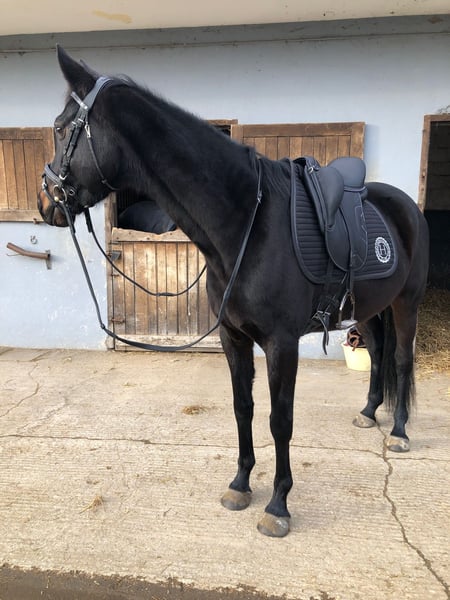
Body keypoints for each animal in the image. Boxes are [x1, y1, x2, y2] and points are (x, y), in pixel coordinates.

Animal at [38, 46, 429, 537]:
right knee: (376, 353)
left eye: (59, 127)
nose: (45, 202)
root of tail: (405, 206)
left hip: (406, 303)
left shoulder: (282, 344)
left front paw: (278, 505)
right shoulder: (233, 336)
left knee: (401, 359)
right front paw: (241, 484)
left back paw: (398, 432)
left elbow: (280, 420)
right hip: (369, 308)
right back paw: (369, 412)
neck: (247, 223)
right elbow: (243, 407)